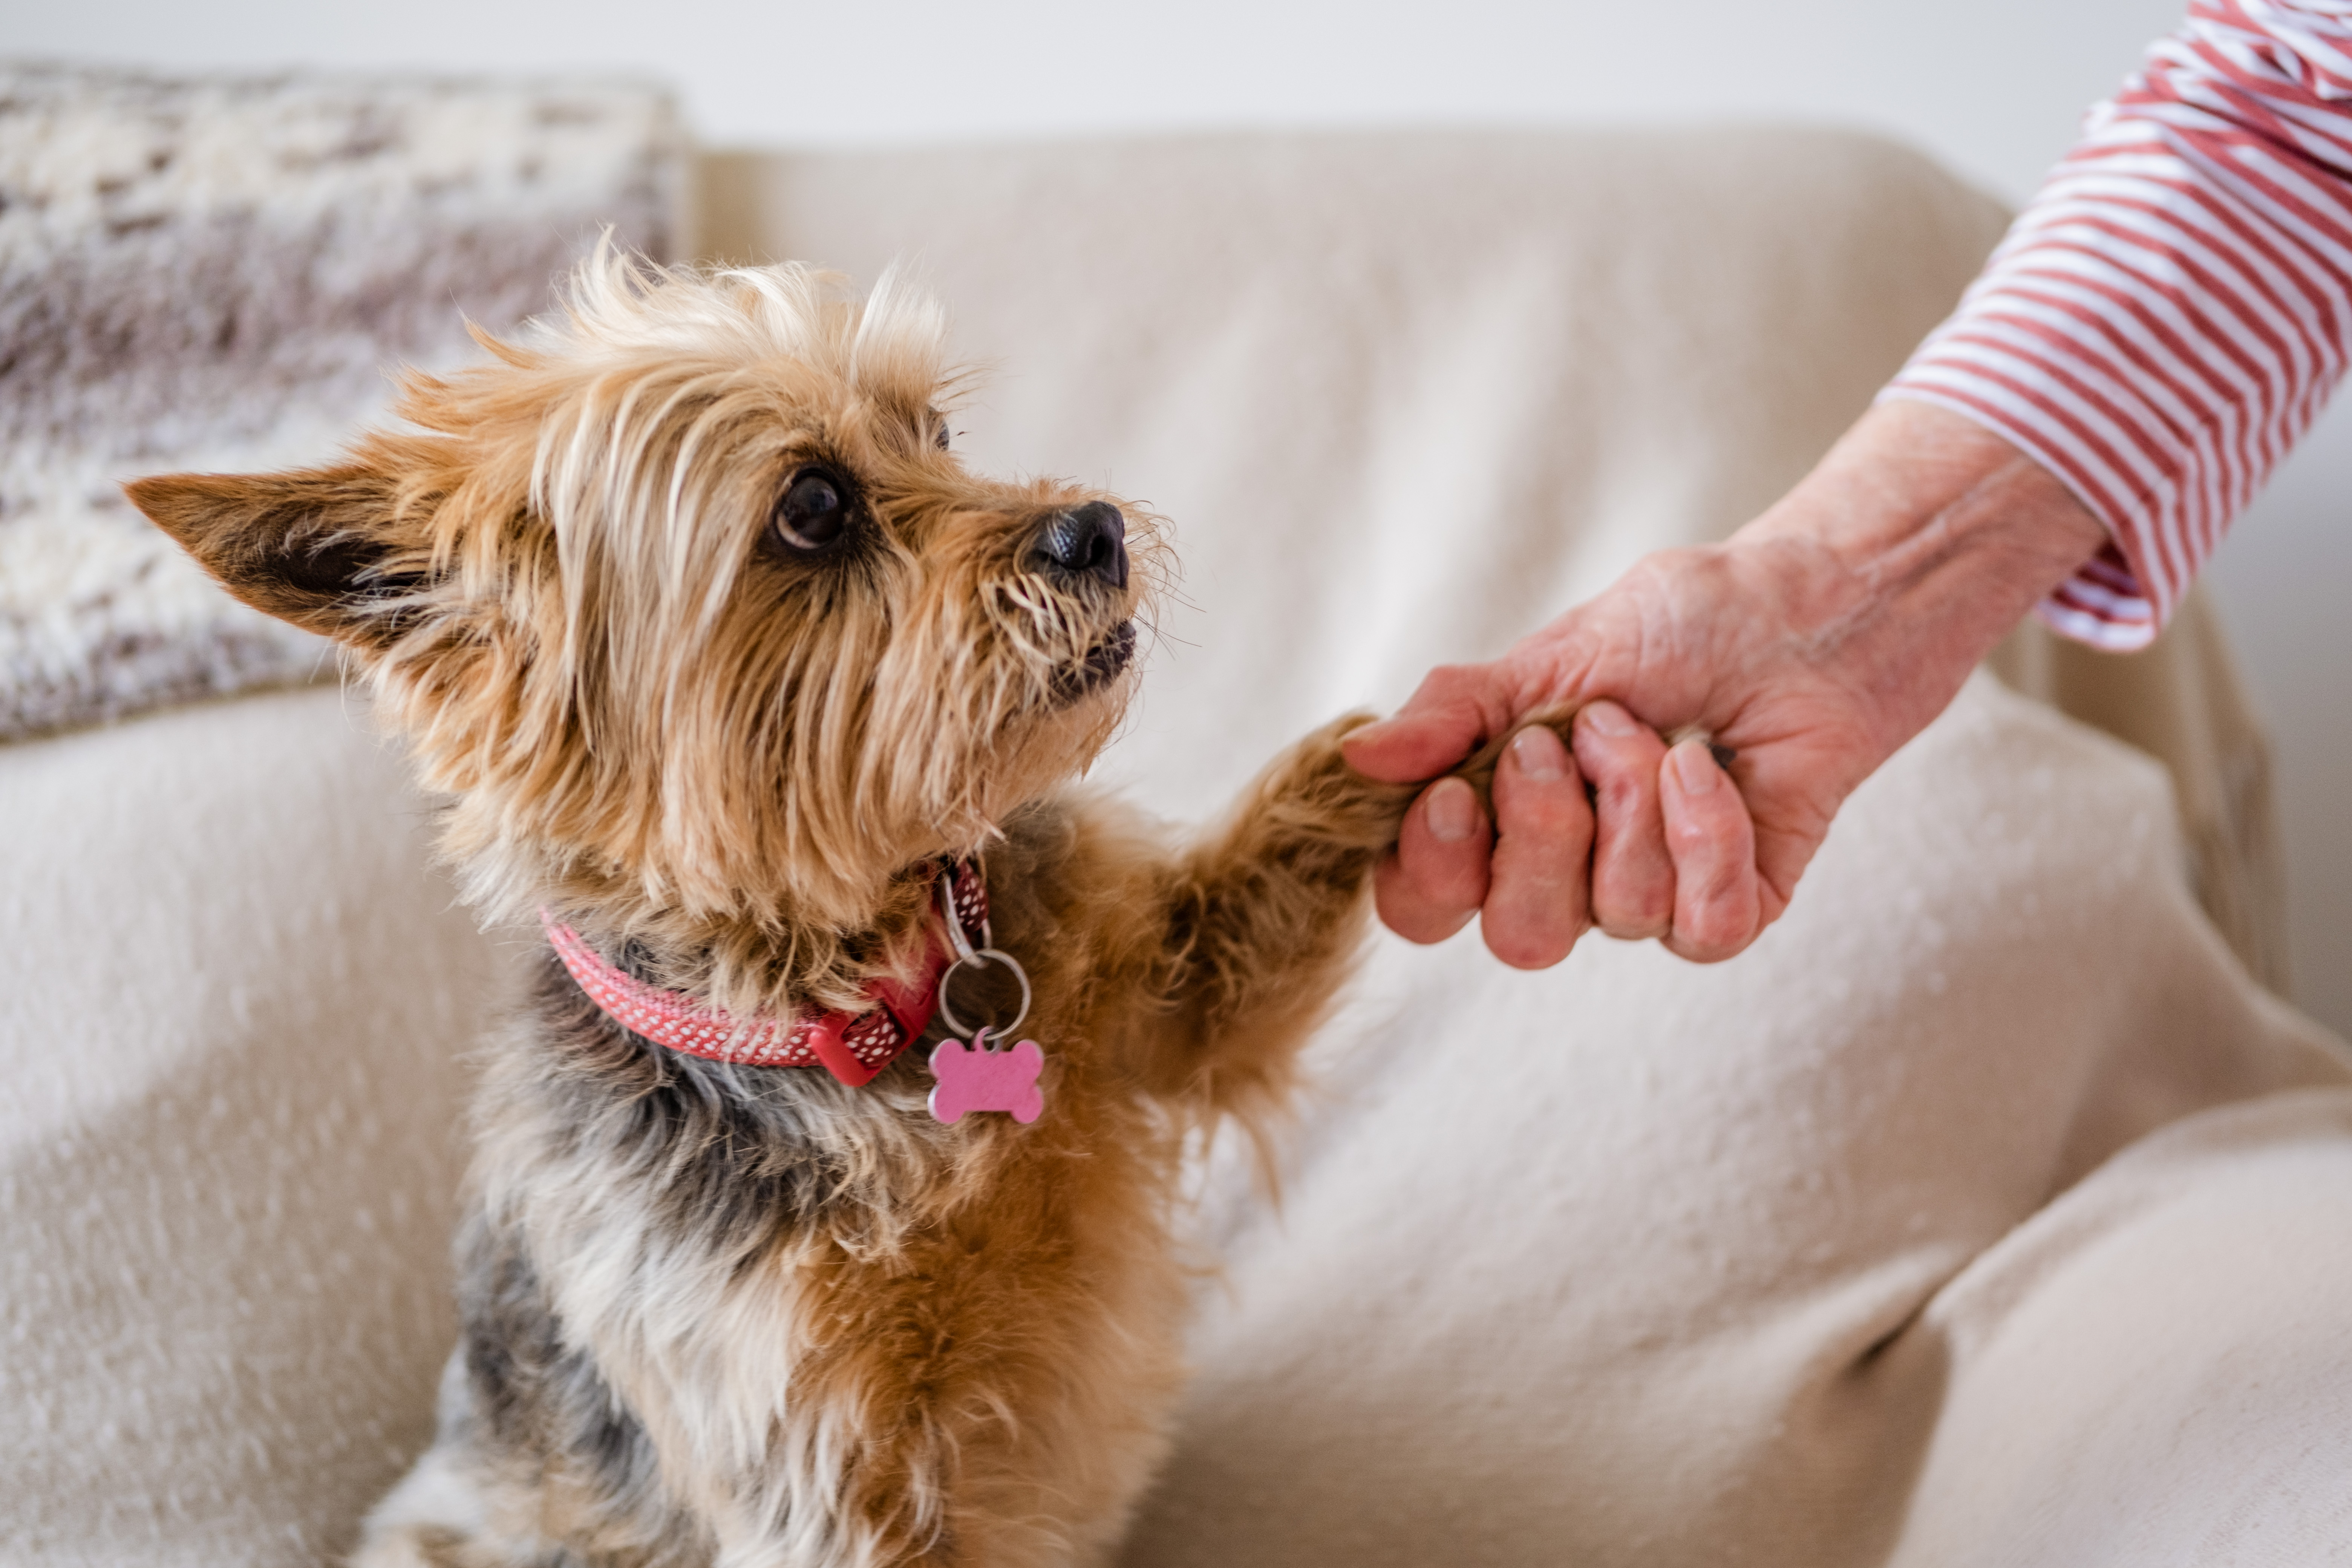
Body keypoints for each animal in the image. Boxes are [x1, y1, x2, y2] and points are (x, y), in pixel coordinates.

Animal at [133, 257, 1430, 1568]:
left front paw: (1449, 740)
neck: (866, 999)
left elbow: (1288, 850)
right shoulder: (824, 1472)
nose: (1097, 527)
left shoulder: (1181, 989)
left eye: (938, 433)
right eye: (813, 506)